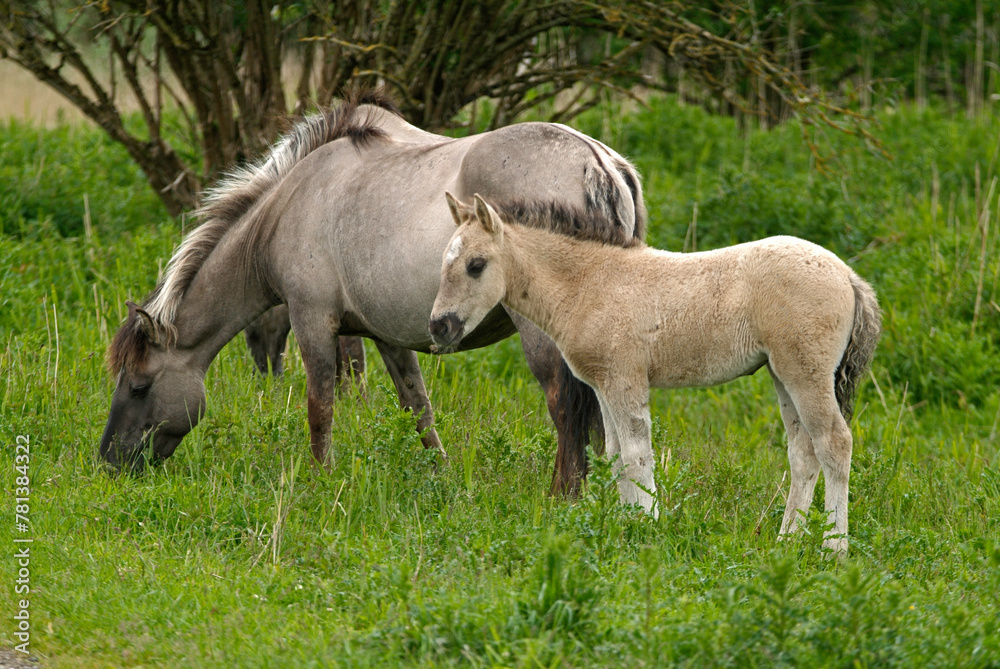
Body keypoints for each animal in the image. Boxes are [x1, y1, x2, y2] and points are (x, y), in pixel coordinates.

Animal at [99, 88, 648, 490]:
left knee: (566, 409)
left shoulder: (313, 322)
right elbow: (418, 410)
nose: (109, 462)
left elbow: (321, 409)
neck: (289, 205)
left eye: (139, 385)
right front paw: (442, 480)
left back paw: (563, 496)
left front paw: (321, 482)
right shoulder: (389, 335)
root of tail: (597, 162)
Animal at [430, 190, 884, 552]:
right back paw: (786, 540)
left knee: (834, 443)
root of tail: (848, 276)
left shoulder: (624, 378)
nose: (439, 327)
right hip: (782, 373)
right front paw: (626, 523)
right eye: (442, 263)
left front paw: (648, 527)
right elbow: (614, 455)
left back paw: (834, 549)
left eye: (476, 264)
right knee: (802, 451)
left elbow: (636, 454)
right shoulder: (602, 384)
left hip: (807, 373)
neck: (589, 284)